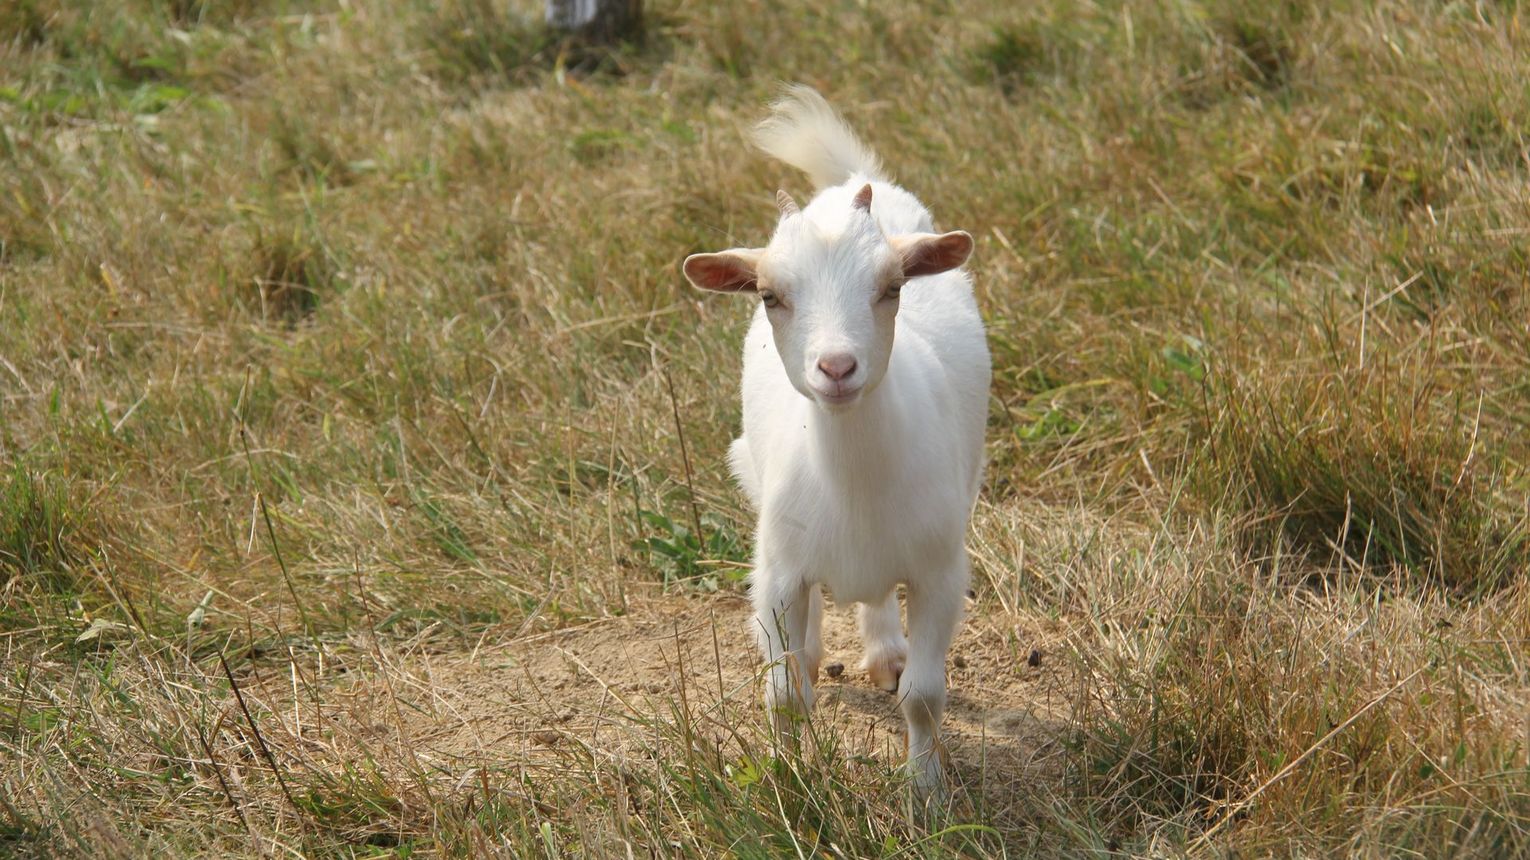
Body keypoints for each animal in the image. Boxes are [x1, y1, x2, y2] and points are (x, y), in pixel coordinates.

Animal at [682, 87, 991, 789]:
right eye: (769, 295)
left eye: (893, 286)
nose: (838, 367)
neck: (853, 478)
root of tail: (848, 182)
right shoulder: (779, 571)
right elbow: (784, 692)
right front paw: (789, 781)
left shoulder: (939, 571)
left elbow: (925, 698)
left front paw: (926, 793)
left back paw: (885, 652)